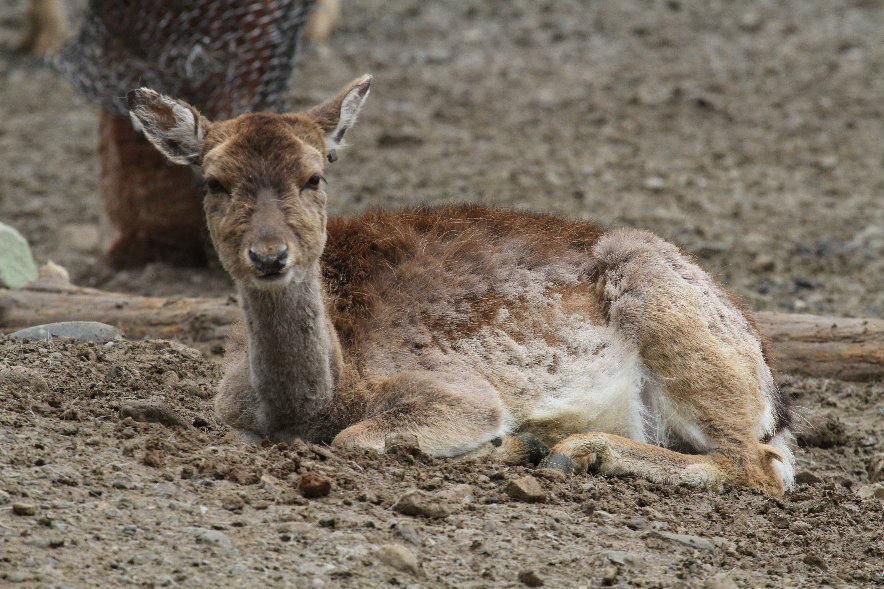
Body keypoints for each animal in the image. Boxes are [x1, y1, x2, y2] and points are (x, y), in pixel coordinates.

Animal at [127, 75, 795, 496]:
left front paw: (510, 445)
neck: (315, 401)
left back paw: (573, 451)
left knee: (762, 465)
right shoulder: (229, 412)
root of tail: (774, 391)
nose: (270, 255)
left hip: (672, 312)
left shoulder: (458, 390)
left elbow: (357, 438)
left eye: (314, 175)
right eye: (213, 181)